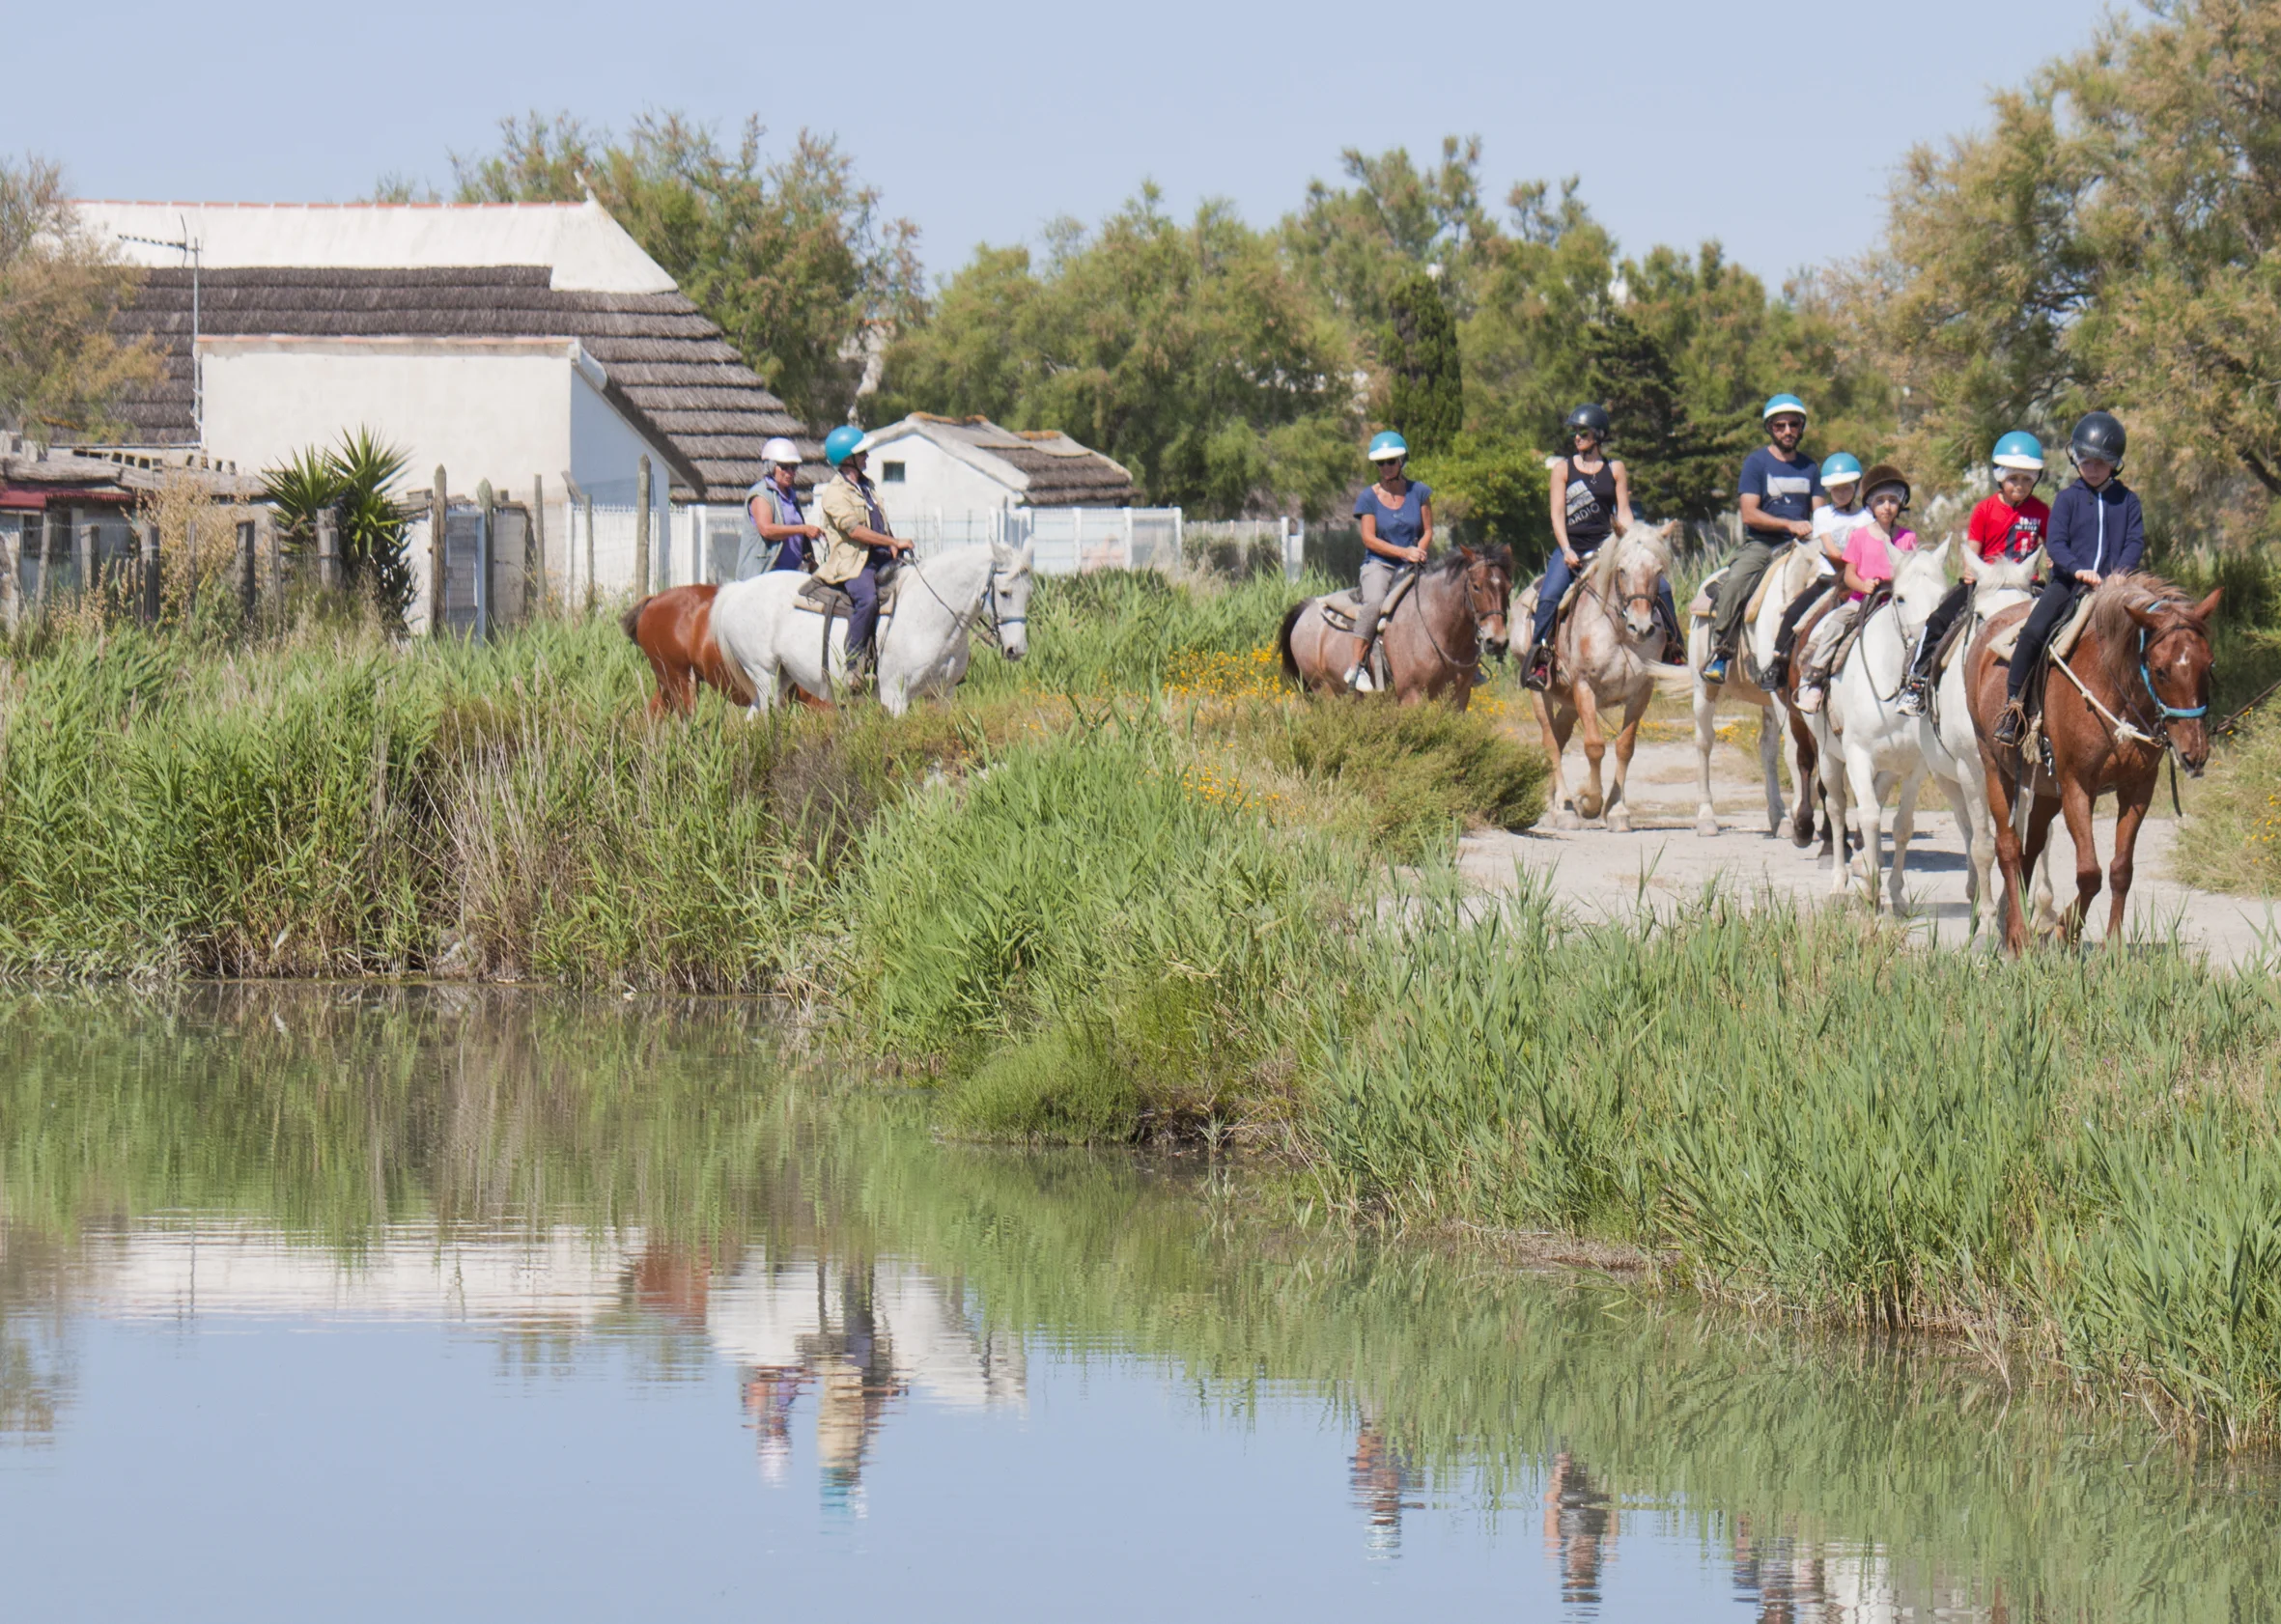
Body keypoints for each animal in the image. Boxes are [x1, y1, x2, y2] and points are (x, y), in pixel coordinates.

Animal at [707, 540, 1034, 719]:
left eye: (1029, 593)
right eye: (1004, 592)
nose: (1016, 649)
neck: (930, 612)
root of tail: (737, 590)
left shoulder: (944, 695)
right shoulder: (894, 696)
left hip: (781, 678)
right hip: (765, 676)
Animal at [1278, 545, 1513, 708]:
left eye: (1509, 587)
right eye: (1476, 586)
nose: (1497, 641)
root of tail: (1309, 606)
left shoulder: (1460, 697)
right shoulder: (1412, 695)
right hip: (1323, 690)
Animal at [1516, 523, 1688, 830]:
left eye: (1658, 571)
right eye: (1621, 570)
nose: (1641, 627)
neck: (1618, 632)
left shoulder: (1641, 691)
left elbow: (1625, 747)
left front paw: (1617, 810)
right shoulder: (1585, 687)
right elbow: (1594, 746)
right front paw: (1590, 803)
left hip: (1568, 702)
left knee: (1559, 736)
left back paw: (1556, 803)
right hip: (1540, 693)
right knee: (1550, 742)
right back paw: (1564, 807)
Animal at [1966, 573, 2221, 954]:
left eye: (2208, 665)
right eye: (2160, 671)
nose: (2195, 753)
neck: (2115, 692)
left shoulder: (2137, 789)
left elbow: (2120, 870)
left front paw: (2113, 947)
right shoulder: (2077, 786)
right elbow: (2089, 873)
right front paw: (2063, 930)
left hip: (2047, 790)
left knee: (2031, 847)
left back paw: (2011, 926)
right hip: (1995, 769)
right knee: (2009, 848)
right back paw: (2018, 936)